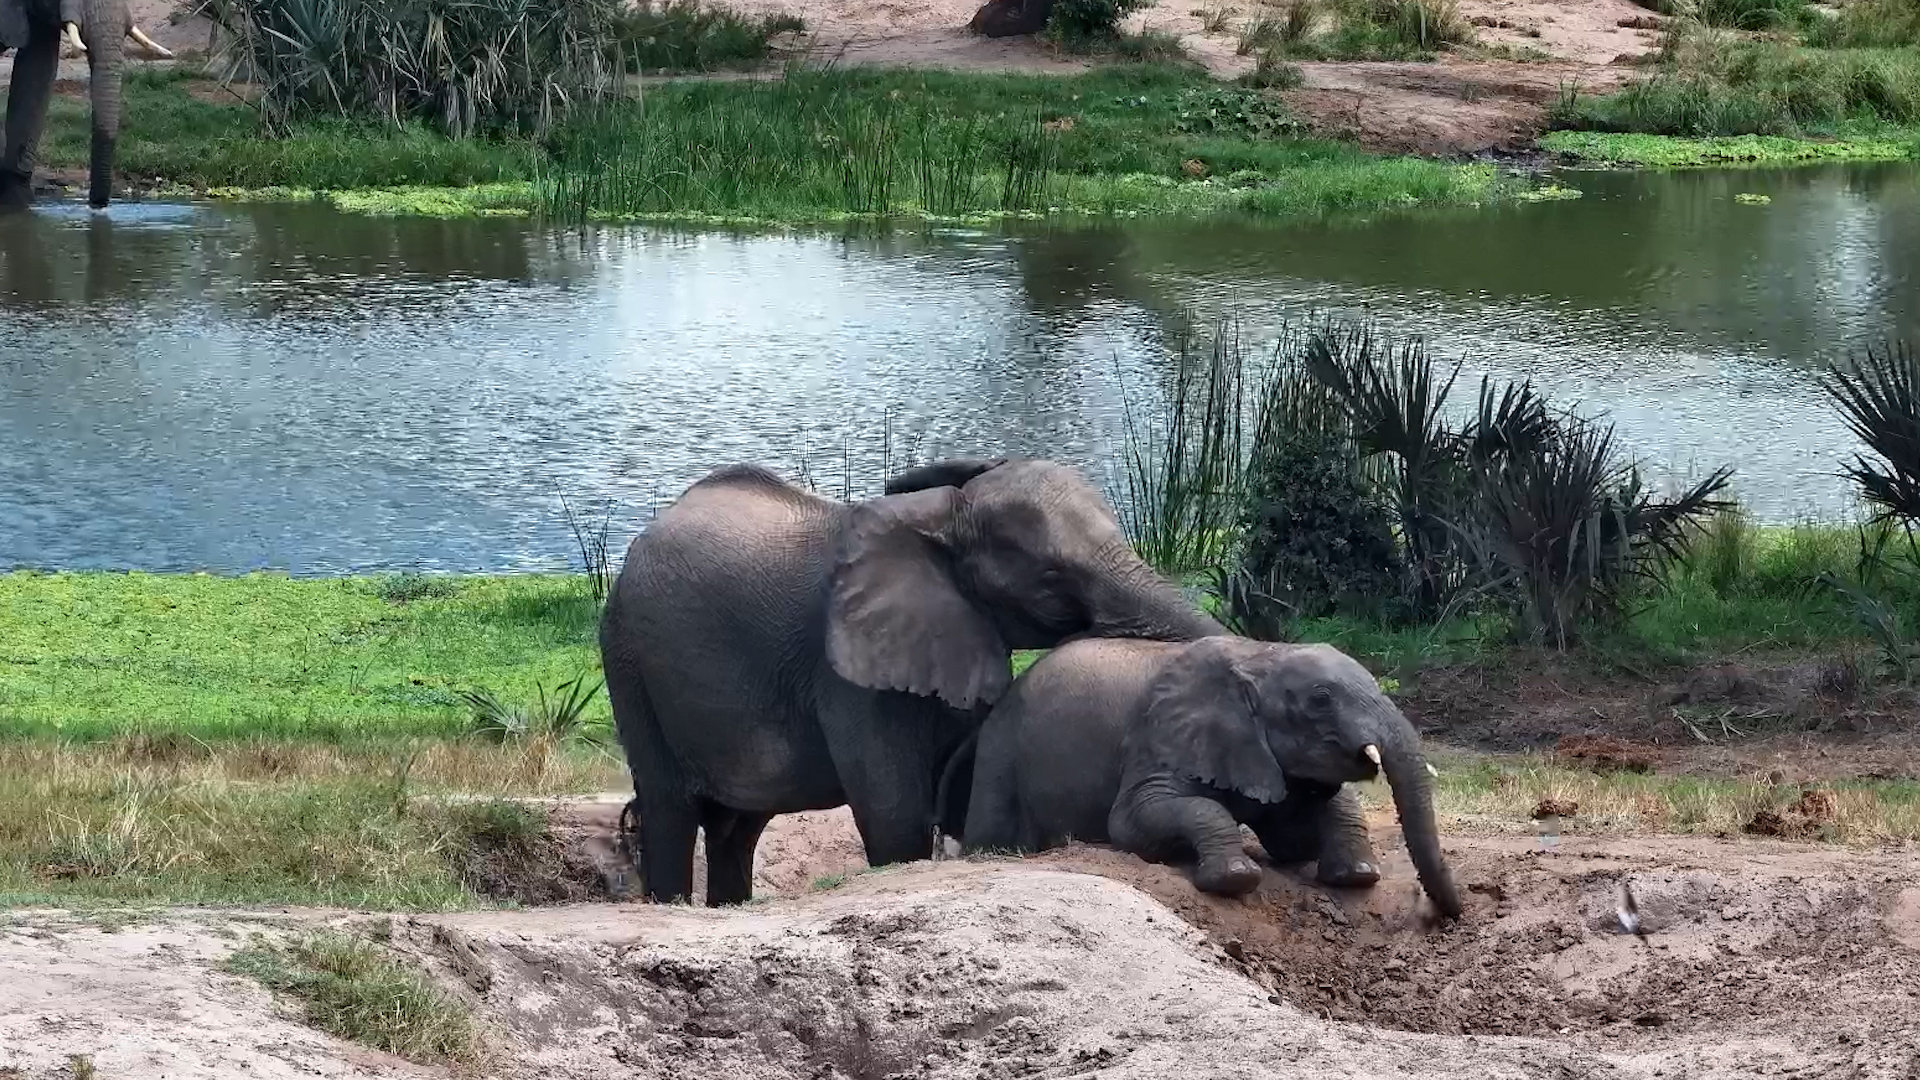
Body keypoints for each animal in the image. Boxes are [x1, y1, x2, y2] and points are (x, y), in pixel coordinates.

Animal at [600, 457, 1227, 906]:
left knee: (737, 828)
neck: (943, 515)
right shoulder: (847, 674)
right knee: (671, 810)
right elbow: (894, 816)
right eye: (1051, 579)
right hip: (629, 657)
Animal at [948, 636, 1463, 918]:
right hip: (1000, 754)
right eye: (1320, 700)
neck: (1257, 655)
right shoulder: (1158, 739)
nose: (1443, 913)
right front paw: (1235, 879)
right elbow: (1135, 822)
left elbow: (1295, 833)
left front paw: (1356, 877)